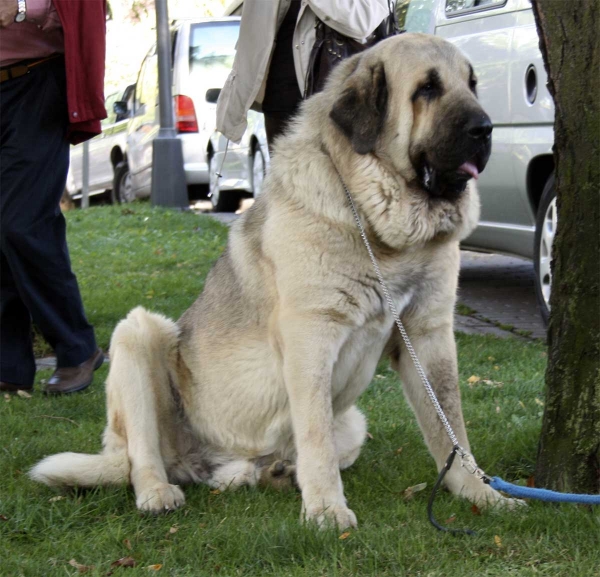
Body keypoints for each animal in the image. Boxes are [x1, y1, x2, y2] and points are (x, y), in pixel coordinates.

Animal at [31, 32, 516, 528]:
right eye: (427, 89)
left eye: (472, 84)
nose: (487, 128)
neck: (378, 225)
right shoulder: (310, 337)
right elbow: (316, 434)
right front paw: (326, 510)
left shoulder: (427, 334)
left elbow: (450, 428)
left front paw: (479, 493)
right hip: (139, 334)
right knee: (140, 457)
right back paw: (158, 491)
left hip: (352, 422)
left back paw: (272, 472)